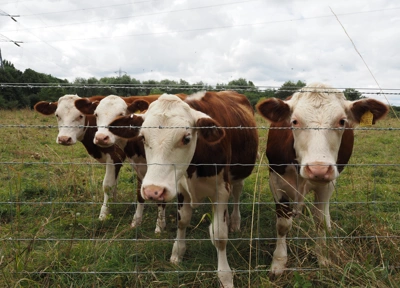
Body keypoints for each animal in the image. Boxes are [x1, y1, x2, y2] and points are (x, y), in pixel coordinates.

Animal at [33, 94, 161, 232]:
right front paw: (113, 204)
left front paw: (103, 214)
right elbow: (114, 184)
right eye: (57, 115)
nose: (64, 139)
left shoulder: (115, 156)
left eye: (80, 116)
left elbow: (107, 185)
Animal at [108, 91, 260, 286]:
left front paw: (225, 276)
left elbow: (219, 235)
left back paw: (235, 221)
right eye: (142, 137)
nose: (152, 190)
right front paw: (177, 253)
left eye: (186, 138)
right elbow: (182, 221)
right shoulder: (180, 187)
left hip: (239, 174)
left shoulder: (221, 190)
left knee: (237, 193)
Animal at [255, 82, 390, 276]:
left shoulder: (327, 184)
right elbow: (282, 225)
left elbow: (320, 222)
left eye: (342, 121)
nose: (318, 169)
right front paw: (278, 263)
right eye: (294, 121)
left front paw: (323, 257)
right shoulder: (276, 180)